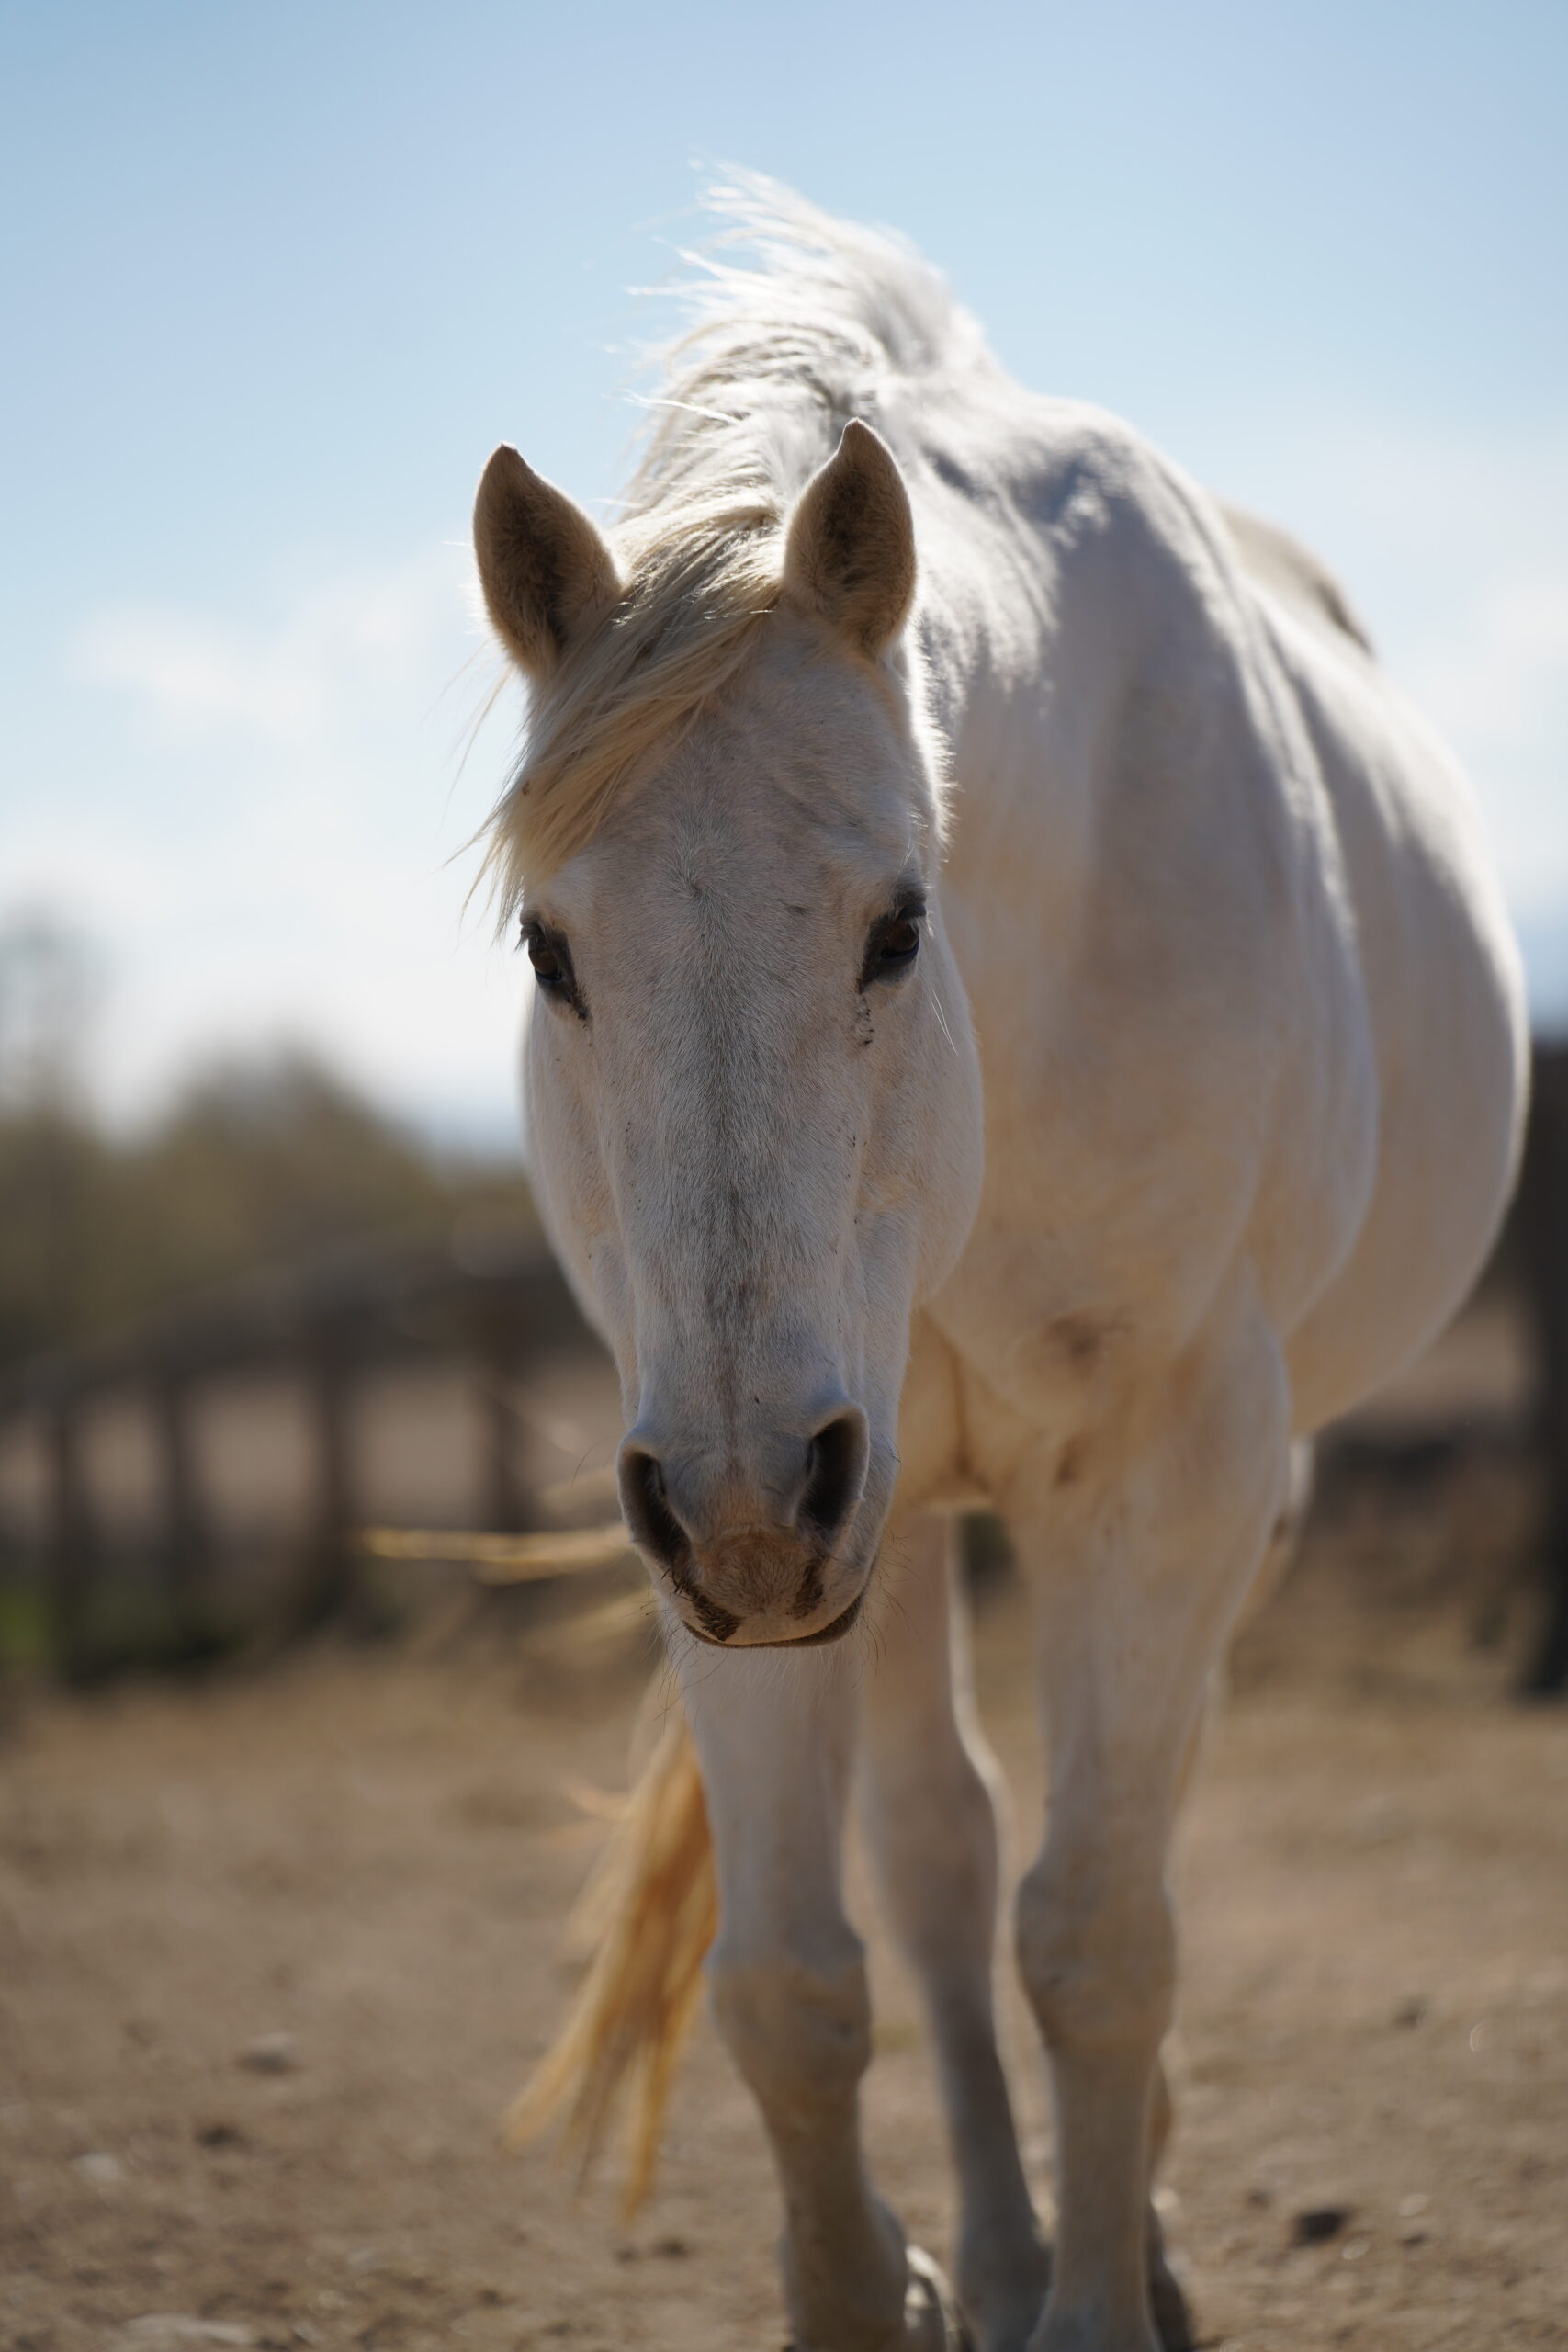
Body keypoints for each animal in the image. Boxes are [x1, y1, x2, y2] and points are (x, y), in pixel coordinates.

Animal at [469, 177, 1527, 2352]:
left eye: (899, 920)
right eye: (549, 947)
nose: (742, 1499)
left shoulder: (1162, 1471)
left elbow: (1101, 1935)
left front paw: (1109, 2293)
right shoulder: (731, 1517)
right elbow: (800, 1976)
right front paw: (881, 2287)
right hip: (870, 1514)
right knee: (941, 1852)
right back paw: (1010, 2235)